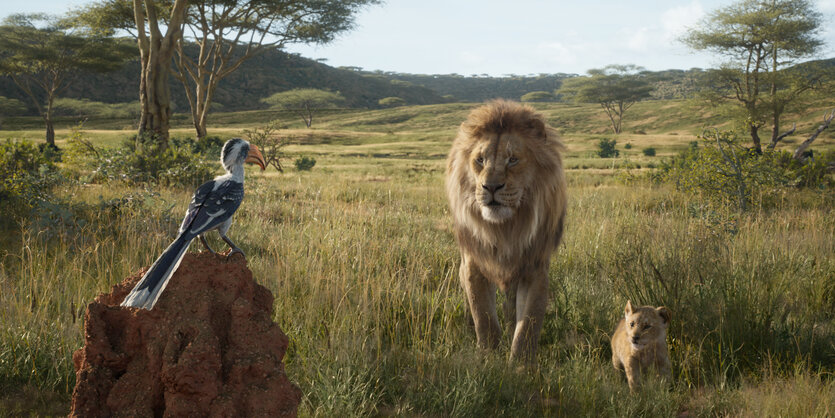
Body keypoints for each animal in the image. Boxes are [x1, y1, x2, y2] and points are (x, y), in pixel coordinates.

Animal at [444, 101, 568, 362]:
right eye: (480, 160)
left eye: (512, 159)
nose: (490, 187)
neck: (505, 229)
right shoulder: (473, 263)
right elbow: (484, 317)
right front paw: (488, 359)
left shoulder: (535, 268)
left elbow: (528, 324)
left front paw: (521, 365)